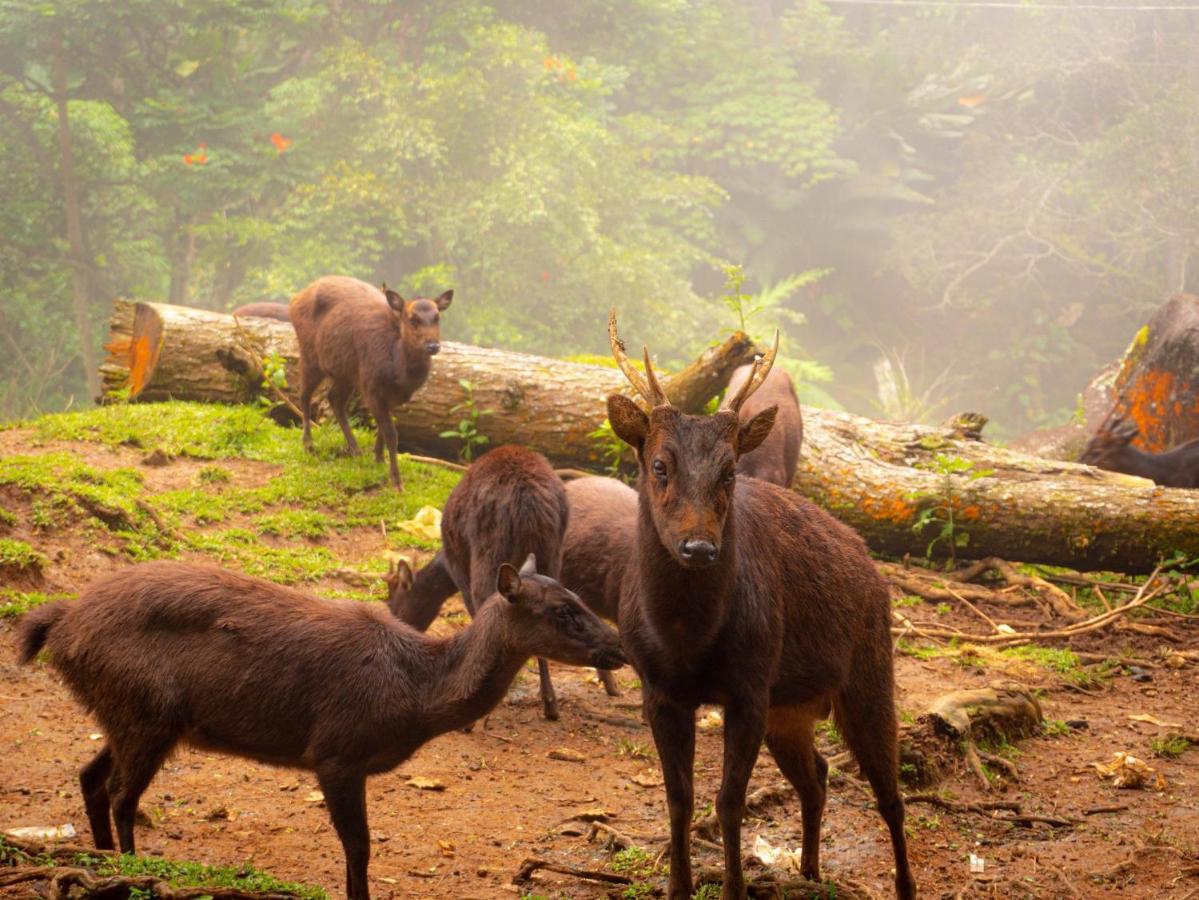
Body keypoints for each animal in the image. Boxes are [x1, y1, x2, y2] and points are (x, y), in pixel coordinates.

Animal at [16, 556, 628, 900]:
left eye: (577, 597)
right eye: (563, 609)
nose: (620, 646)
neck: (416, 692)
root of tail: (60, 626)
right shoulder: (335, 752)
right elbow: (358, 847)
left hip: (127, 715)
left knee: (91, 777)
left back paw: (101, 867)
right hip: (147, 713)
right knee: (121, 794)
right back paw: (131, 871)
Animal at [291, 276, 453, 493]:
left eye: (437, 317)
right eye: (412, 319)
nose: (433, 346)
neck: (397, 371)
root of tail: (295, 299)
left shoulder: (390, 396)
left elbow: (382, 430)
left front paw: (378, 460)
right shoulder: (371, 387)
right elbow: (392, 433)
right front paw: (397, 482)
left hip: (346, 372)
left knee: (334, 398)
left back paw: (355, 449)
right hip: (311, 355)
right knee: (304, 394)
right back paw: (308, 443)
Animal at [609, 311, 916, 900]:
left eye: (729, 470)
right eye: (659, 465)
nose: (699, 547)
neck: (687, 640)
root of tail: (871, 565)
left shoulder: (750, 687)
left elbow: (729, 803)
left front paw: (734, 889)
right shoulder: (658, 691)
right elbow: (679, 801)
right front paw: (678, 887)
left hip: (870, 669)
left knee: (891, 795)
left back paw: (903, 886)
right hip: (790, 708)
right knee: (817, 774)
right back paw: (810, 869)